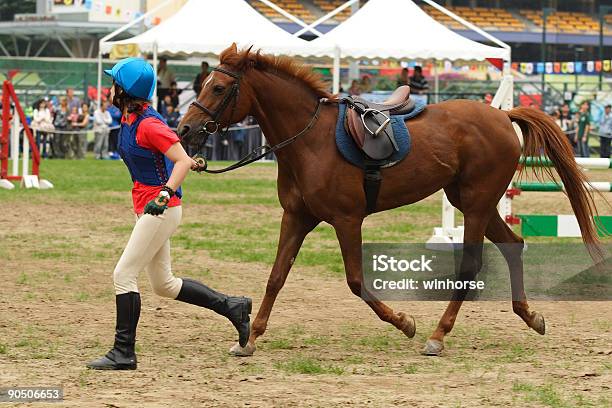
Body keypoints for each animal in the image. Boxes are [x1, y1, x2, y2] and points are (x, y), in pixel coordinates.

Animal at [179, 45, 600, 356]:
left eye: (218, 88)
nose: (184, 129)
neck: (309, 139)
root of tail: (502, 116)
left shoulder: (347, 219)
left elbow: (355, 281)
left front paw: (404, 322)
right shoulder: (297, 217)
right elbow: (277, 276)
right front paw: (250, 338)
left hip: (478, 204)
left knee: (471, 264)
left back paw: (437, 335)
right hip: (471, 201)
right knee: (513, 245)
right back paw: (529, 315)